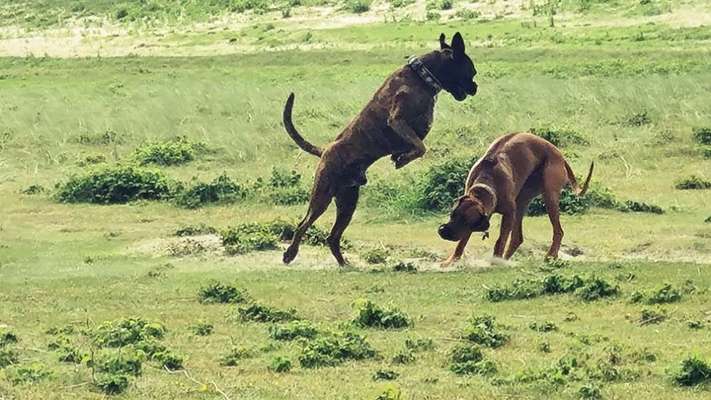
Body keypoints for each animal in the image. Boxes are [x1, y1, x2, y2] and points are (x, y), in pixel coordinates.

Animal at [282, 32, 478, 266]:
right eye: (471, 71)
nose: (475, 87)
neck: (422, 76)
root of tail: (325, 150)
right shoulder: (397, 120)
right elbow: (420, 146)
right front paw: (402, 159)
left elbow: (417, 146)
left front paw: (400, 156)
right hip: (322, 196)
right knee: (302, 225)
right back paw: (290, 254)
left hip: (347, 203)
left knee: (333, 236)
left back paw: (344, 263)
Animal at [440, 131, 596, 264]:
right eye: (452, 215)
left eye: (466, 221)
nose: (443, 231)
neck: (485, 184)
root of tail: (561, 157)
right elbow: (462, 241)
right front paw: (451, 261)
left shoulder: (509, 213)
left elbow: (500, 240)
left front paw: (495, 261)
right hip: (522, 199)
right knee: (517, 238)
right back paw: (506, 259)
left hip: (549, 194)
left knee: (558, 231)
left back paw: (550, 255)